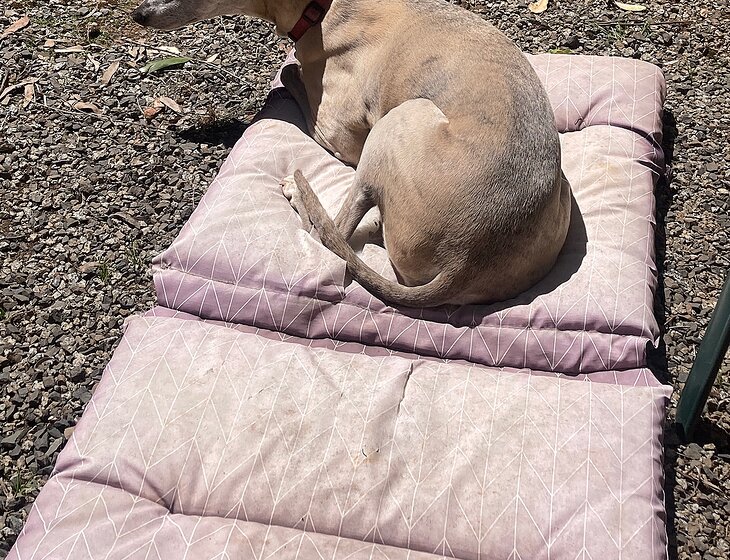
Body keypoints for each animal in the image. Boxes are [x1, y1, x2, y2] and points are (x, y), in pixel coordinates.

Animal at [132, 0, 571, 308]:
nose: (139, 14)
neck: (323, 9)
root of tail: (466, 259)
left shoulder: (339, 131)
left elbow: (289, 78)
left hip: (396, 123)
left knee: (329, 233)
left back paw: (296, 190)